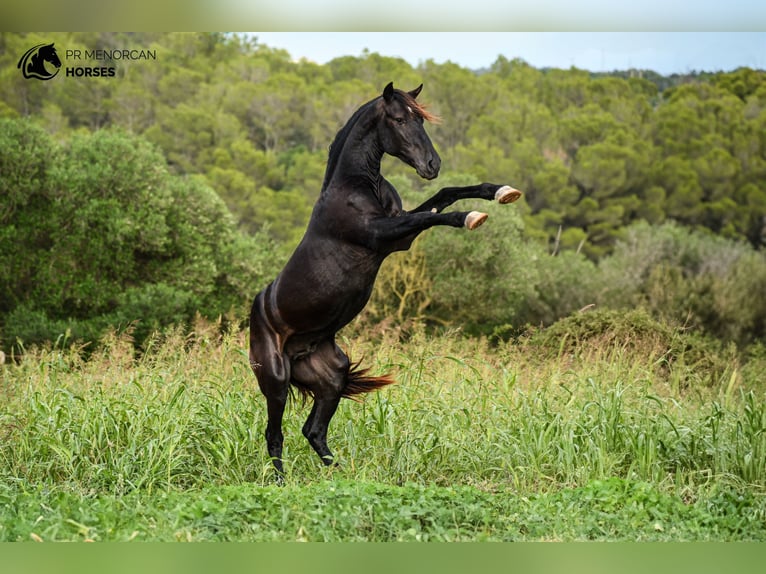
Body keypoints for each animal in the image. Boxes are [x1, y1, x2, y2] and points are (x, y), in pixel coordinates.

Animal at [250, 82, 520, 476]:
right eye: (399, 119)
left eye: (420, 119)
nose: (432, 164)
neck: (357, 187)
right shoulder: (385, 235)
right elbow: (434, 214)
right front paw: (472, 217)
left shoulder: (399, 233)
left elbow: (444, 195)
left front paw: (501, 192)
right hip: (276, 381)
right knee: (275, 435)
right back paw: (284, 484)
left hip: (332, 376)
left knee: (313, 430)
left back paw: (343, 475)